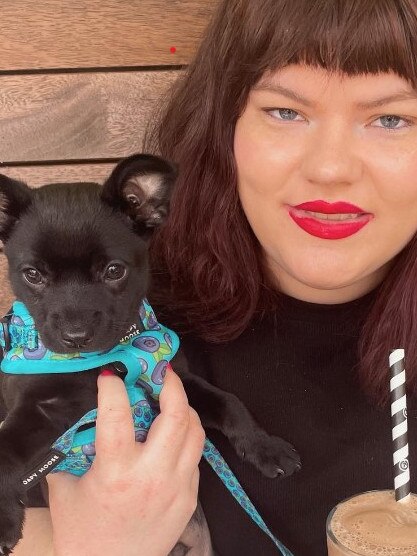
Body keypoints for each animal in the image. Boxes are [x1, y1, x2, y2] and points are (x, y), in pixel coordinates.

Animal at [0, 154, 300, 552]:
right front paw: (4, 519)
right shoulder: (36, 411)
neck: (106, 359)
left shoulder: (175, 381)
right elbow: (4, 447)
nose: (76, 336)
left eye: (114, 271)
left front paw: (266, 448)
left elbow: (230, 403)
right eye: (32, 275)